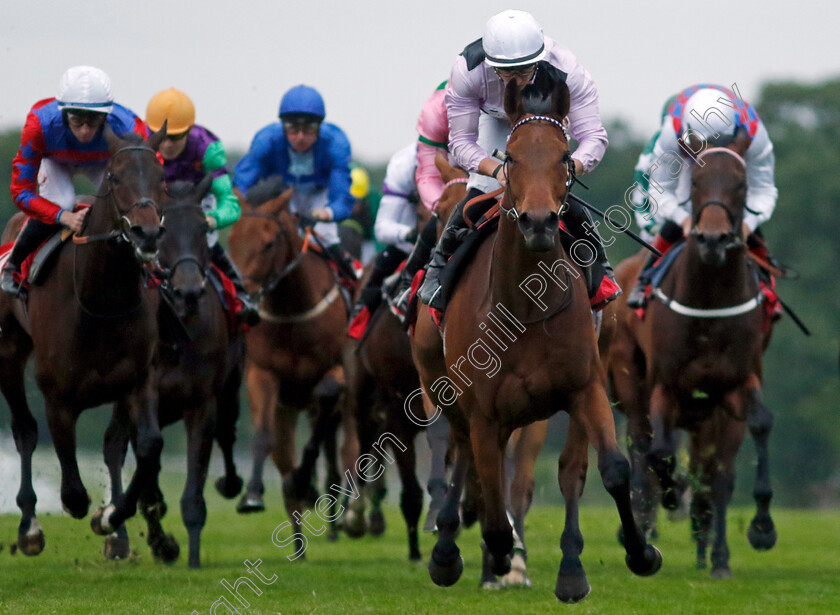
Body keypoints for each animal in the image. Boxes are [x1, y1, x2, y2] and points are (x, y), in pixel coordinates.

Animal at [0, 126, 169, 552]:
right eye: (115, 177)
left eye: (162, 179)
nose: (147, 233)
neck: (100, 299)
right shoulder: (57, 395)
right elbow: (73, 491)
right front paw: (83, 511)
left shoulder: (139, 378)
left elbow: (147, 446)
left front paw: (111, 516)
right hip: (9, 351)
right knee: (24, 431)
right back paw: (29, 526)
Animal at [226, 186, 354, 552]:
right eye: (231, 238)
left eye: (269, 243)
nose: (245, 300)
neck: (293, 312)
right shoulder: (263, 374)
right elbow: (263, 437)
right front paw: (252, 495)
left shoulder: (338, 373)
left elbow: (326, 400)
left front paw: (304, 480)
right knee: (284, 457)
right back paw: (298, 544)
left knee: (341, 447)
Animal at [410, 78, 660, 600]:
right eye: (511, 157)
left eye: (564, 156)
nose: (540, 221)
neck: (524, 308)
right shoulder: (483, 411)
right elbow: (490, 495)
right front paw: (488, 554)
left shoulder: (585, 388)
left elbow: (608, 470)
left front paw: (634, 553)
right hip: (444, 389)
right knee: (464, 458)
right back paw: (450, 550)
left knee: (558, 472)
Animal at [608, 147, 776, 580]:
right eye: (696, 182)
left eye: (741, 183)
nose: (713, 239)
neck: (710, 300)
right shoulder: (667, 387)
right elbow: (661, 454)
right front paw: (671, 495)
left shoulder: (735, 384)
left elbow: (757, 427)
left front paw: (761, 527)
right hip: (631, 382)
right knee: (644, 447)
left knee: (713, 474)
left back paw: (713, 552)